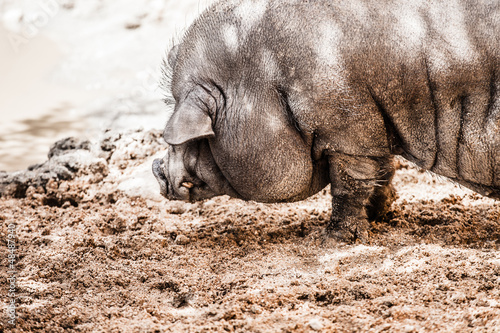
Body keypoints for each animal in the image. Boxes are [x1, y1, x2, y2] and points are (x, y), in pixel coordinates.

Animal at [152, 0, 500, 240]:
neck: (268, 78)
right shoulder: (373, 127)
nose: (157, 171)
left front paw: (332, 240)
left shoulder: (347, 131)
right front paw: (380, 218)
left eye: (196, 139)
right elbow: (383, 172)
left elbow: (349, 185)